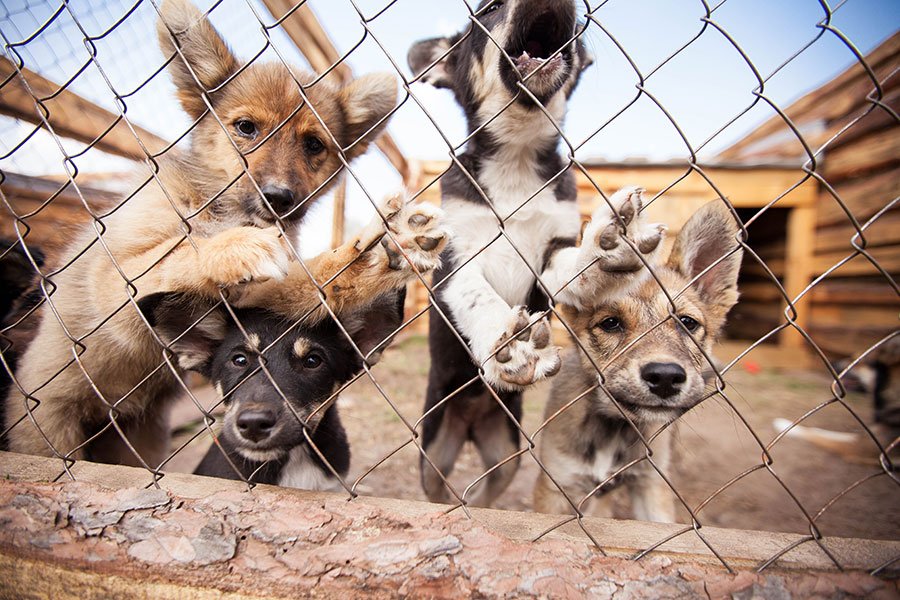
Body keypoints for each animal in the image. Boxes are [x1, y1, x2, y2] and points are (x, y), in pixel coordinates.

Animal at [2, 0, 446, 466]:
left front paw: (379, 255)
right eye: (246, 127)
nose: (279, 198)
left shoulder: (255, 297)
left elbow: (310, 282)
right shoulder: (115, 281)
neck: (223, 208)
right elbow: (176, 252)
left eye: (314, 145)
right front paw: (229, 247)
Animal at [408, 0, 660, 506]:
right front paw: (506, 345)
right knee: (440, 491)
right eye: (487, 9)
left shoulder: (550, 253)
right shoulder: (454, 258)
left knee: (488, 491)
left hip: (506, 448)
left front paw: (608, 244)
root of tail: (471, 418)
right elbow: (477, 295)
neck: (516, 158)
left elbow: (572, 265)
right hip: (434, 447)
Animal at [536, 200, 744, 520]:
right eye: (610, 323)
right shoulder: (556, 487)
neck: (615, 430)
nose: (665, 377)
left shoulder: (652, 486)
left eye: (687, 322)